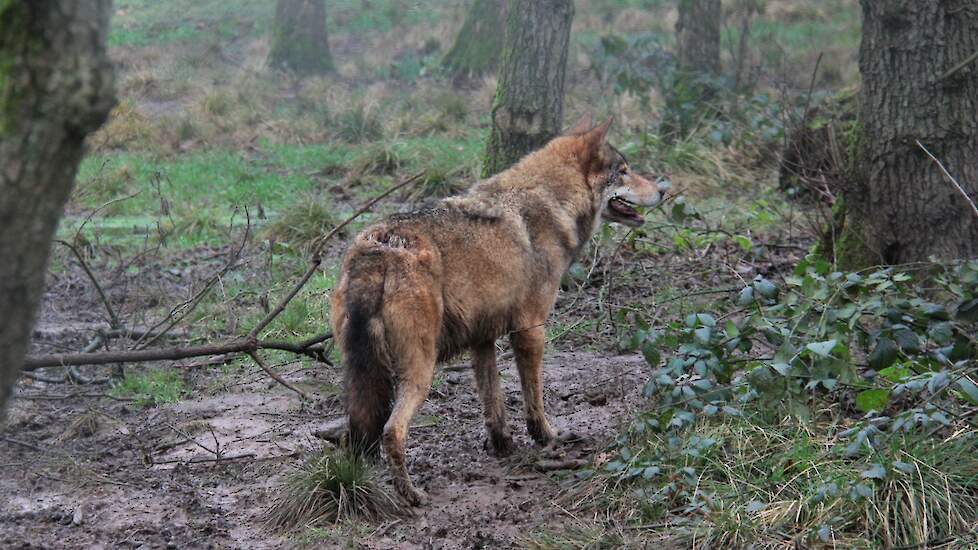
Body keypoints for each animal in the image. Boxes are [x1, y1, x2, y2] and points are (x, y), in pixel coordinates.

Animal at [328, 114, 664, 506]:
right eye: (624, 171)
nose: (663, 190)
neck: (552, 202)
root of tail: (379, 250)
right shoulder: (531, 330)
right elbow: (533, 396)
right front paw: (546, 437)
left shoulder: (482, 340)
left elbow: (494, 400)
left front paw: (502, 444)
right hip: (420, 372)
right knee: (391, 431)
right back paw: (411, 495)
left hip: (361, 376)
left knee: (353, 435)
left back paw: (357, 489)